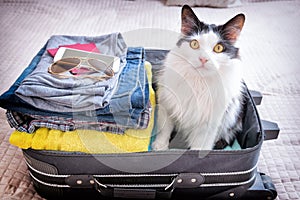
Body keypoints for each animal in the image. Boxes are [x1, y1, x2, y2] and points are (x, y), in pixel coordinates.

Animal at [151, 5, 245, 150]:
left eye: (218, 48)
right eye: (194, 44)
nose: (203, 59)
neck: (199, 82)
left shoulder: (208, 124)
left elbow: (199, 146)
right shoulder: (167, 106)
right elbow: (164, 130)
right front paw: (160, 146)